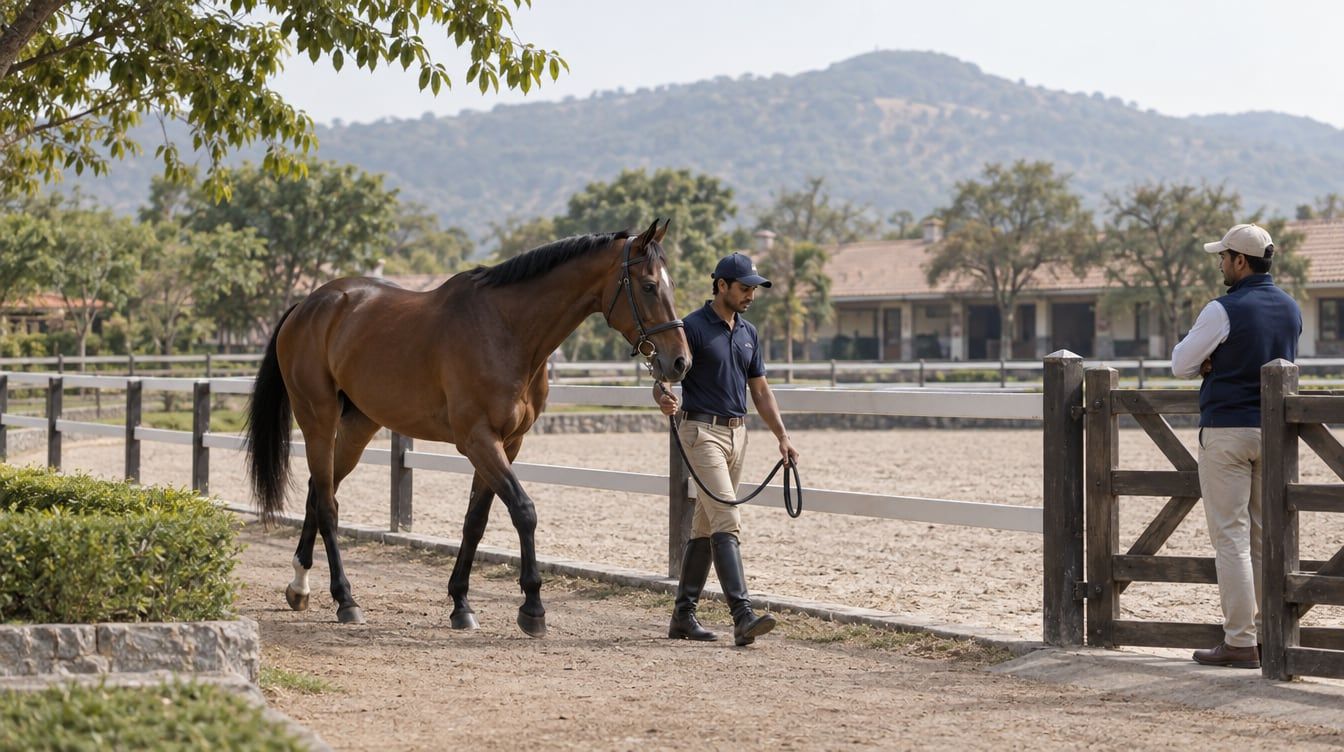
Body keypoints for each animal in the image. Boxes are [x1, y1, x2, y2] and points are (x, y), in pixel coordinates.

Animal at [244, 219, 690, 636]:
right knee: (328, 505)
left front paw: (461, 604)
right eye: (649, 286)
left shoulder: (507, 443)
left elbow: (476, 520)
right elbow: (523, 510)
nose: (680, 362)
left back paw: (300, 586)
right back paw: (345, 600)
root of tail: (308, 305)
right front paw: (532, 608)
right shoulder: (478, 440)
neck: (507, 329)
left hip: (358, 427)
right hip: (317, 418)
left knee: (317, 493)